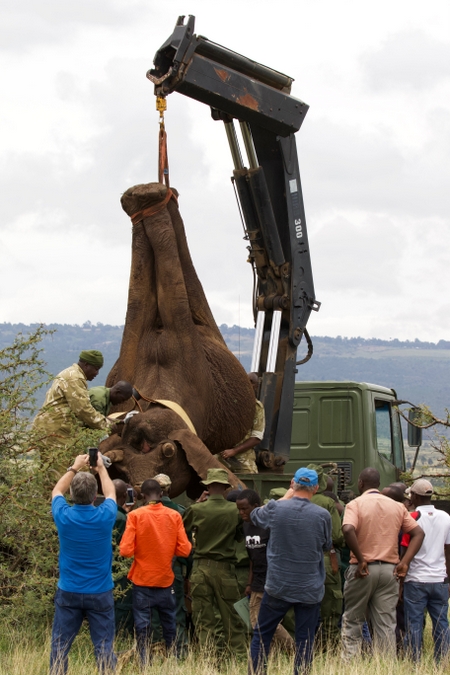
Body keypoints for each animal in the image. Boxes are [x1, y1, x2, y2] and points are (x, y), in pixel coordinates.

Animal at [100, 182, 255, 500]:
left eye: (169, 458)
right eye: (123, 471)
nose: (138, 491)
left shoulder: (190, 357)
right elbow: (139, 297)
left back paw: (154, 197)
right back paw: (147, 200)